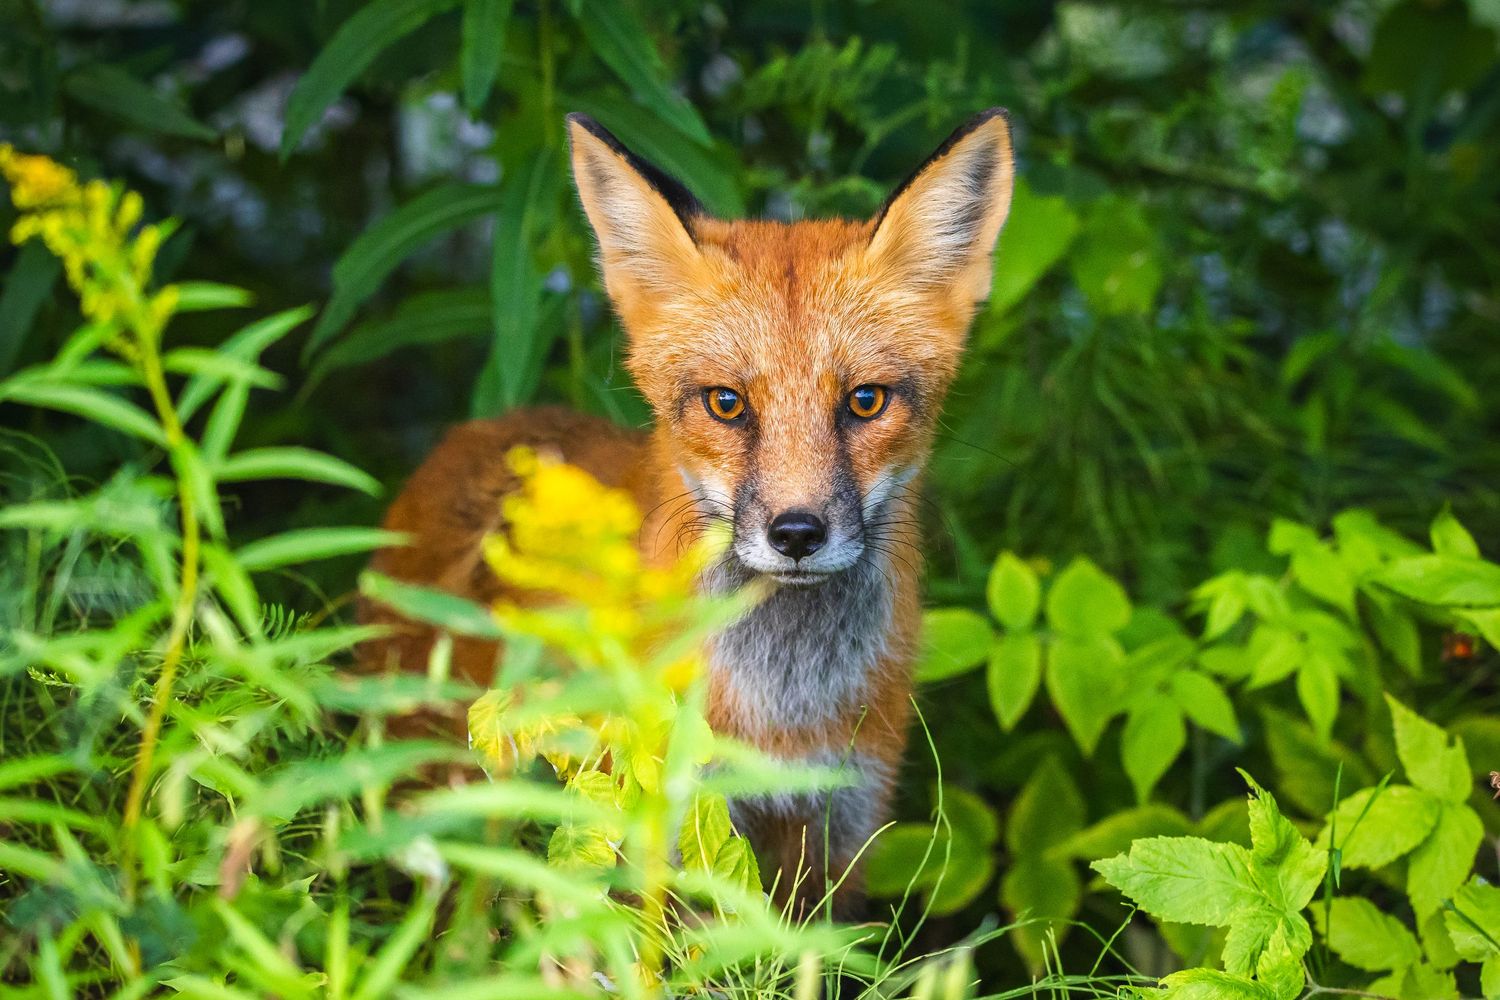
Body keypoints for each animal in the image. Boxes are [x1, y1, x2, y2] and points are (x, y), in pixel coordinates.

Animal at [357, 108, 1015, 917]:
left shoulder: (840, 825)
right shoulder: (669, 829)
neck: (779, 710)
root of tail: (477, 432)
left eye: (866, 400)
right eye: (726, 403)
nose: (797, 532)